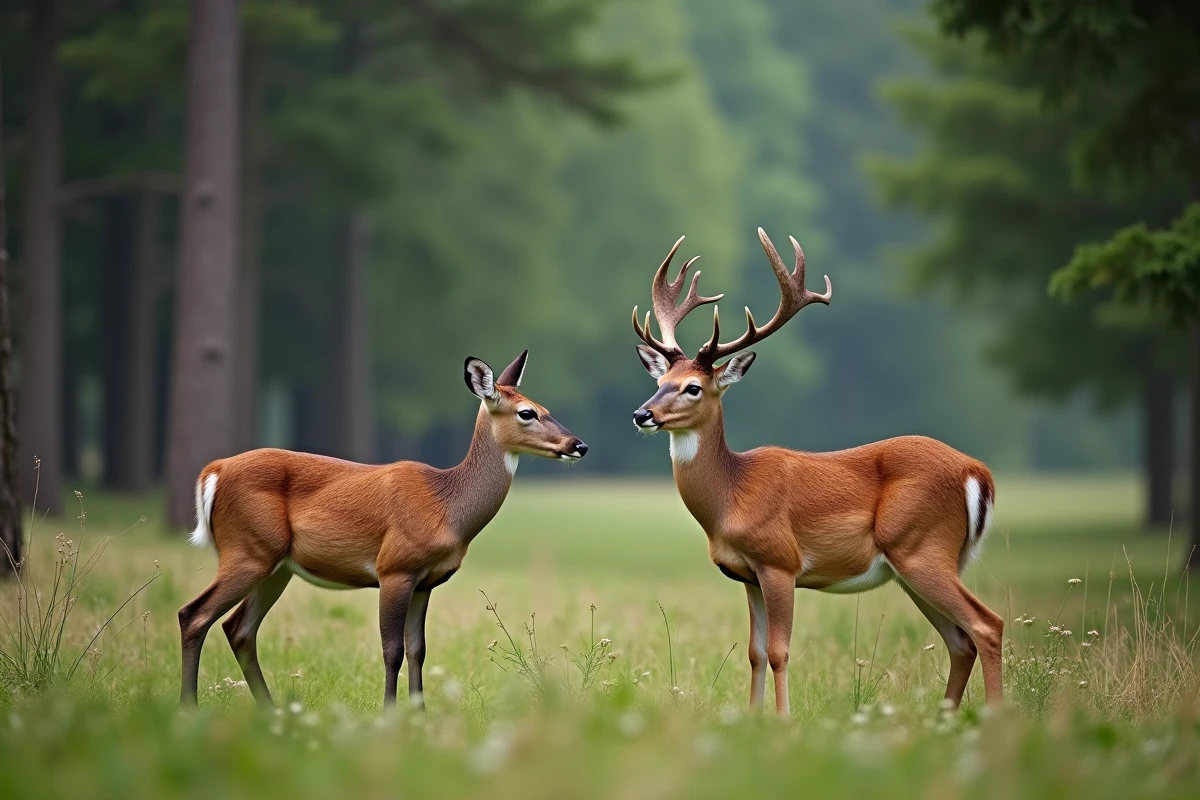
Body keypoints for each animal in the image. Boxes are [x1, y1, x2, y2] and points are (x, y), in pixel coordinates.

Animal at [178, 350, 588, 709]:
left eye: (546, 409)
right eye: (527, 412)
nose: (579, 444)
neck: (446, 507)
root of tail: (213, 471)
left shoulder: (426, 581)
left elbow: (418, 650)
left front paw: (419, 715)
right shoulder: (395, 567)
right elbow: (392, 651)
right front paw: (389, 716)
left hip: (276, 566)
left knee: (238, 628)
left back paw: (269, 709)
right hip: (247, 549)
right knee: (194, 614)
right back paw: (188, 708)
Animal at [631, 230, 1002, 715]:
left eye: (693, 387)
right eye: (658, 383)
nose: (642, 414)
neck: (732, 495)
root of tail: (978, 473)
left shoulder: (779, 560)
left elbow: (778, 652)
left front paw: (783, 720)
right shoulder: (747, 575)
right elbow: (754, 652)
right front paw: (752, 718)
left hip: (922, 546)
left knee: (987, 625)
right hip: (918, 563)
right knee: (961, 641)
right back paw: (946, 718)